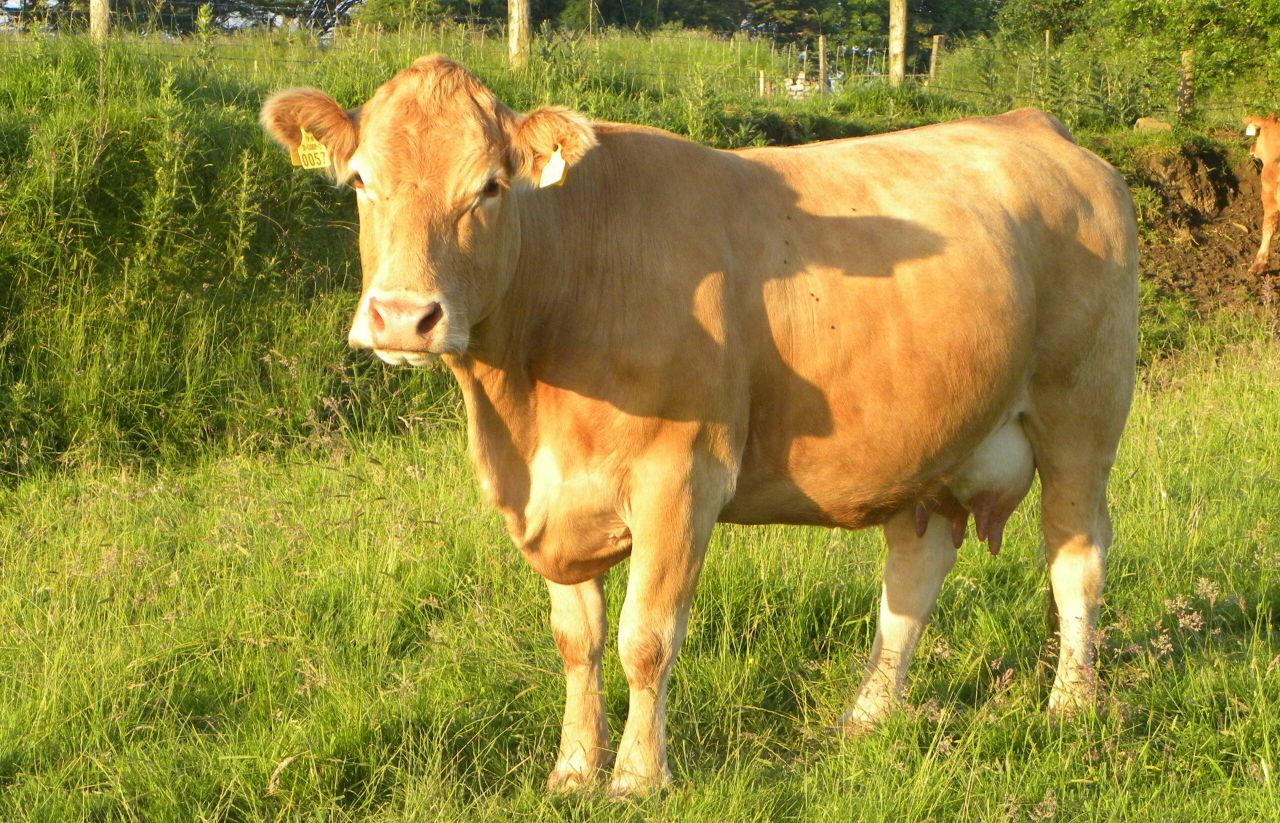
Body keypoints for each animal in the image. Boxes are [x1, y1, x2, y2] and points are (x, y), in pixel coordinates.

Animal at [261, 55, 1138, 797]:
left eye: (490, 187)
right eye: (362, 181)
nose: (404, 317)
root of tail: (1035, 127)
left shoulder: (680, 478)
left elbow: (644, 637)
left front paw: (637, 779)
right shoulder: (552, 495)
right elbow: (575, 640)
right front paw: (572, 772)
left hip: (1082, 412)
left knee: (1076, 557)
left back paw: (1070, 706)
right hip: (931, 444)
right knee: (913, 574)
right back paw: (867, 717)